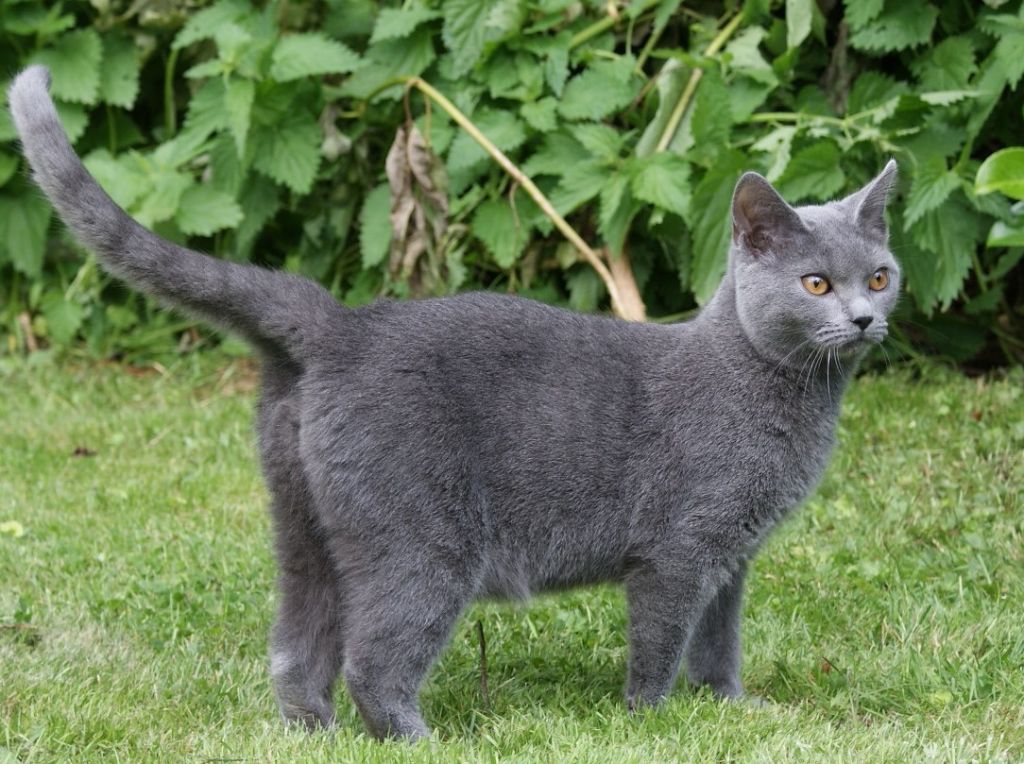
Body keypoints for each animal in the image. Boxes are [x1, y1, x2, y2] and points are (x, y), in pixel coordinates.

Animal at [12, 67, 901, 737]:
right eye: (815, 285)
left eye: (879, 275)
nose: (865, 317)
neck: (785, 400)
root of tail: (346, 324)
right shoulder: (679, 552)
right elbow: (658, 648)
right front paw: (652, 722)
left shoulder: (732, 558)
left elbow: (719, 644)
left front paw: (730, 710)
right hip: (424, 540)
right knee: (372, 660)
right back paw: (421, 740)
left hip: (306, 526)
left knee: (297, 650)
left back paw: (315, 734)